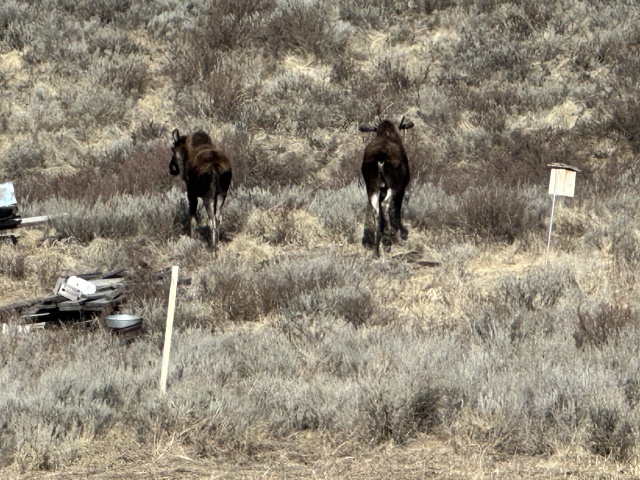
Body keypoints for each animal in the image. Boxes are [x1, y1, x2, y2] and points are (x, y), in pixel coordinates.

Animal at [359, 117, 414, 256]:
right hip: (393, 185)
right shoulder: (402, 187)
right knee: (385, 204)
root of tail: (380, 158)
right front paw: (401, 234)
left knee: (375, 210)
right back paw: (393, 239)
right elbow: (397, 209)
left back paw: (377, 250)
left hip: (371, 186)